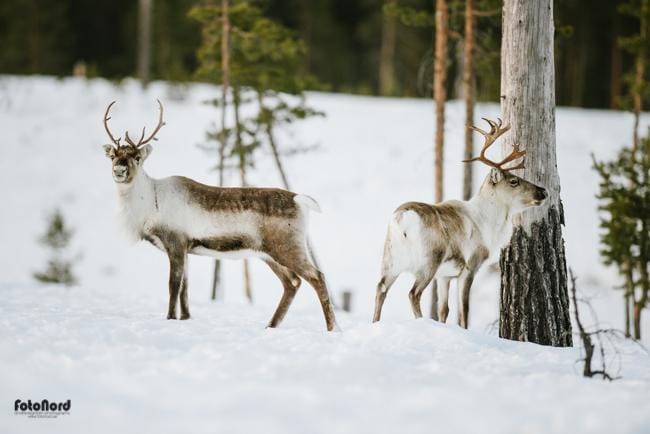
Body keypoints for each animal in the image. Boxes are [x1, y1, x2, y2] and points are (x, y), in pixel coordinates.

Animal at [100, 100, 338, 331]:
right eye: (113, 156)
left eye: (137, 157)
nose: (119, 171)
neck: (150, 203)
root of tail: (299, 199)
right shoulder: (187, 248)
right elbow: (185, 289)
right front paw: (185, 318)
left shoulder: (175, 243)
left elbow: (173, 286)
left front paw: (170, 319)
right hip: (268, 254)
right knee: (292, 283)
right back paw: (271, 325)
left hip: (288, 247)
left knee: (317, 277)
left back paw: (332, 329)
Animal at [372, 118, 547, 328]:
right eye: (514, 181)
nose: (543, 191)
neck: (489, 224)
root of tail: (402, 220)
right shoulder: (470, 266)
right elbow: (464, 311)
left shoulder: (444, 275)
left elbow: (443, 310)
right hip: (428, 261)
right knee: (413, 293)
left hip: (390, 260)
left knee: (381, 288)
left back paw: (374, 323)